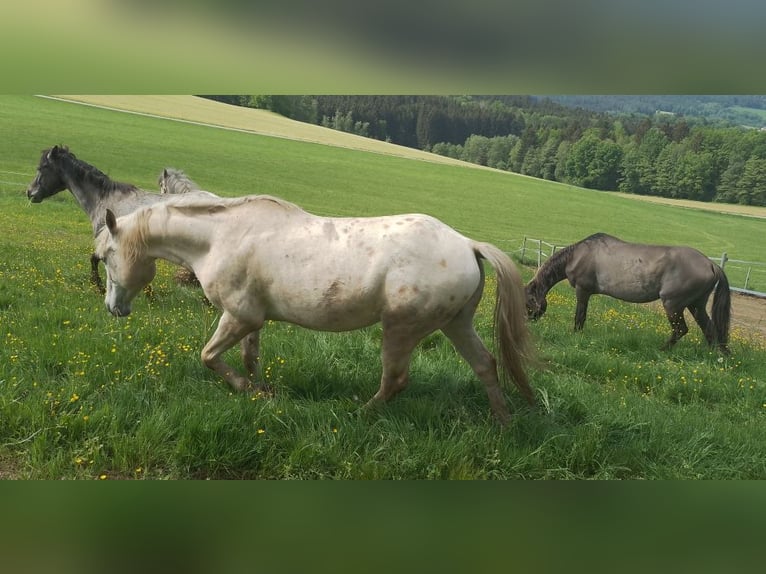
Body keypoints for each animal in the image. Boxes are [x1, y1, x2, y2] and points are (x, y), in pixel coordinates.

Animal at [96, 193, 535, 424]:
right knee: (486, 364)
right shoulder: (252, 320)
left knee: (395, 380)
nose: (113, 308)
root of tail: (467, 245)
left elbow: (208, 356)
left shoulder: (237, 316)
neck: (221, 238)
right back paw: (503, 422)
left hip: (401, 329)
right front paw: (261, 390)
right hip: (456, 324)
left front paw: (247, 390)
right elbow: (250, 358)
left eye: (106, 255)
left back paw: (359, 414)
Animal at [525, 233, 731, 353]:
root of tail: (711, 264)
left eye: (527, 302)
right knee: (709, 330)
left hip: (673, 305)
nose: (527, 323)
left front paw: (575, 335)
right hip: (696, 305)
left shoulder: (582, 291)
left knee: (681, 329)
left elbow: (579, 316)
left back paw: (661, 349)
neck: (577, 255)